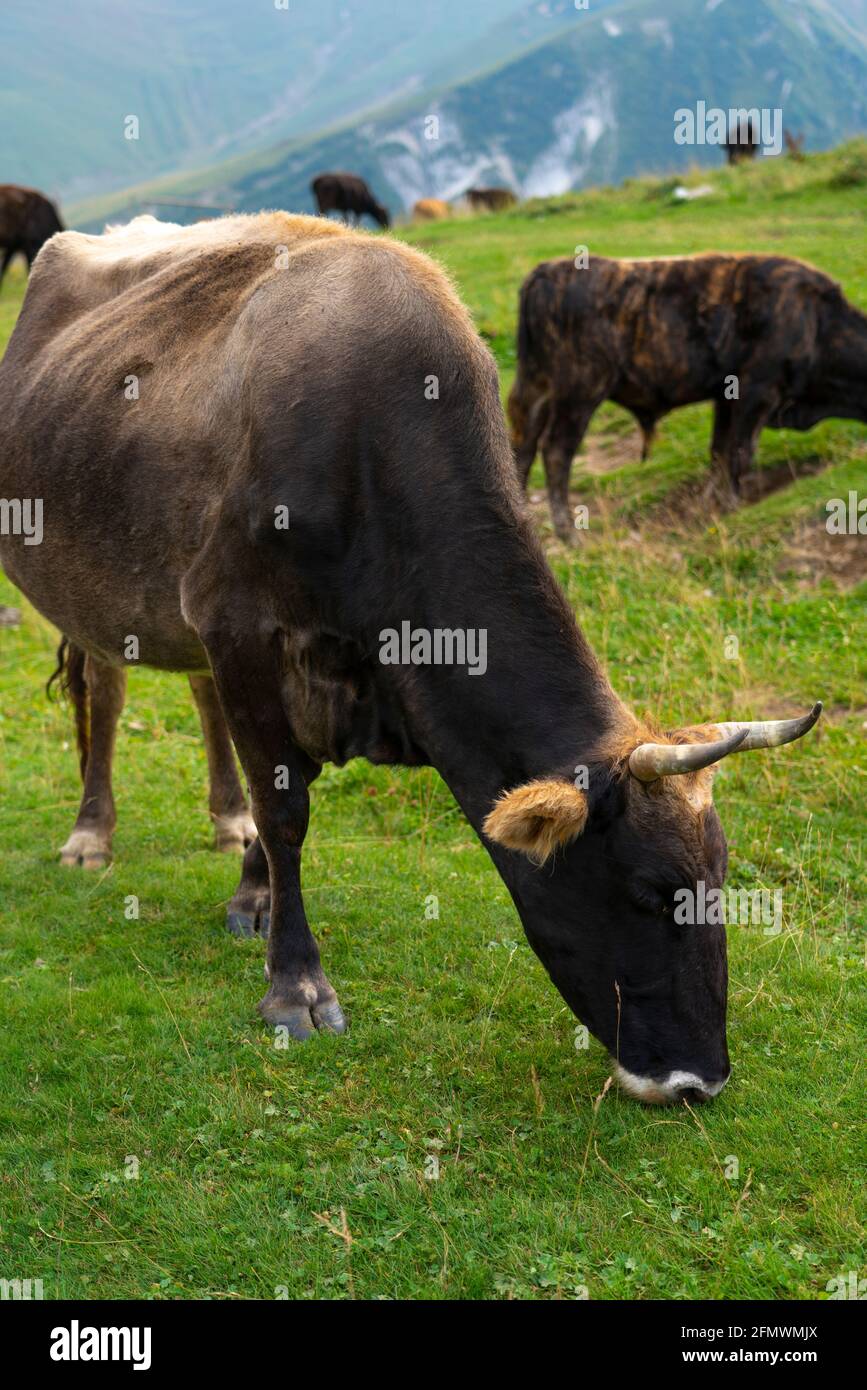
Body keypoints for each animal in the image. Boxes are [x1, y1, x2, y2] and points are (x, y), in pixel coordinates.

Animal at [508, 253, 867, 541]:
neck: (816, 319)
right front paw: (732, 502)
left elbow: (720, 451)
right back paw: (569, 535)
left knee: (521, 447)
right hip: (580, 394)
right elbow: (742, 451)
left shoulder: (726, 398)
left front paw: (711, 502)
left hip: (536, 388)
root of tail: (546, 271)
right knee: (556, 453)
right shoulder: (757, 393)